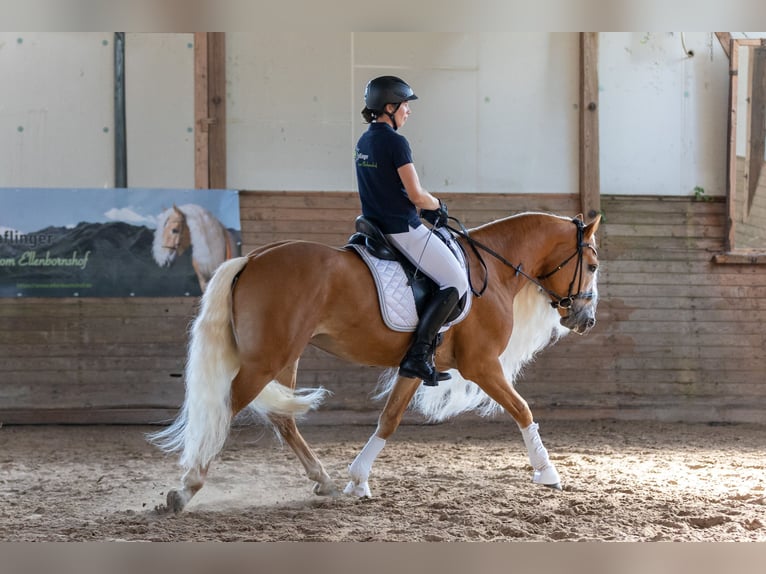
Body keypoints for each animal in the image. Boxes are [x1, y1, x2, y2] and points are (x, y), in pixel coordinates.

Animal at [150, 210, 604, 512]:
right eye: (593, 264)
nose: (586, 320)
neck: (490, 269)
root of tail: (254, 258)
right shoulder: (481, 364)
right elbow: (522, 409)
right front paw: (548, 473)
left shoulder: (416, 365)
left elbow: (389, 418)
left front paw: (358, 480)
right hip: (267, 358)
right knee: (225, 409)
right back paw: (186, 488)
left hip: (283, 356)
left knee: (283, 418)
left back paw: (325, 481)